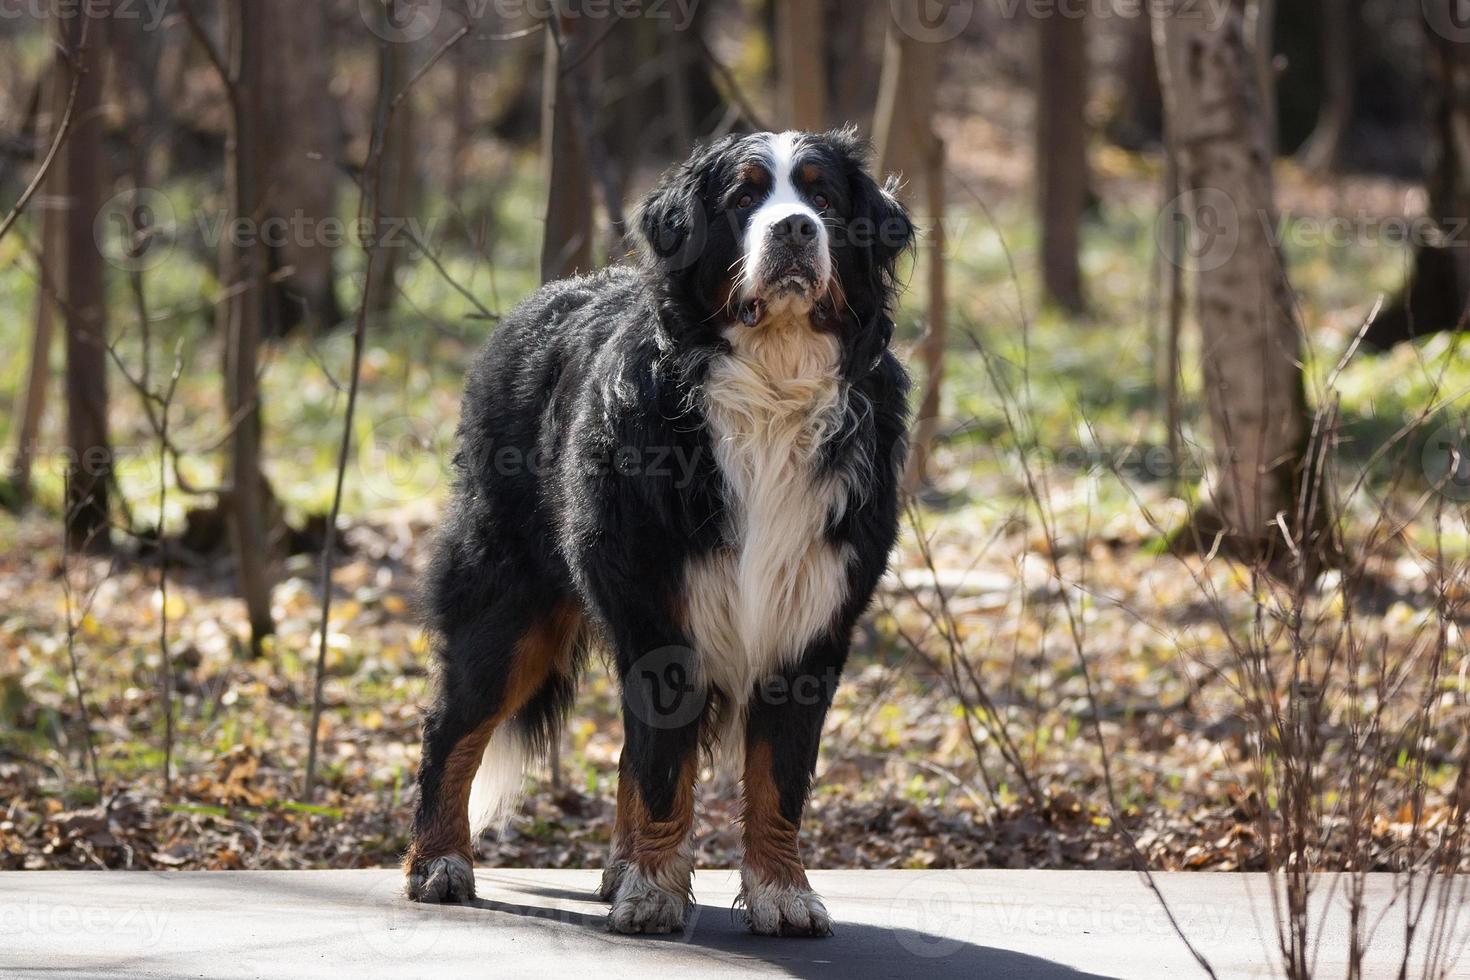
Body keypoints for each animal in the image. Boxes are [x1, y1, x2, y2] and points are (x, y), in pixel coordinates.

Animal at [402, 126, 905, 940]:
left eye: (823, 197)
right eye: (743, 197)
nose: (796, 230)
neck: (772, 387)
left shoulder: (811, 621)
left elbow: (778, 779)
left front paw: (781, 892)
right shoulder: (660, 609)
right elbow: (667, 771)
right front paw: (654, 894)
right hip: (508, 605)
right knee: (453, 727)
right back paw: (439, 863)